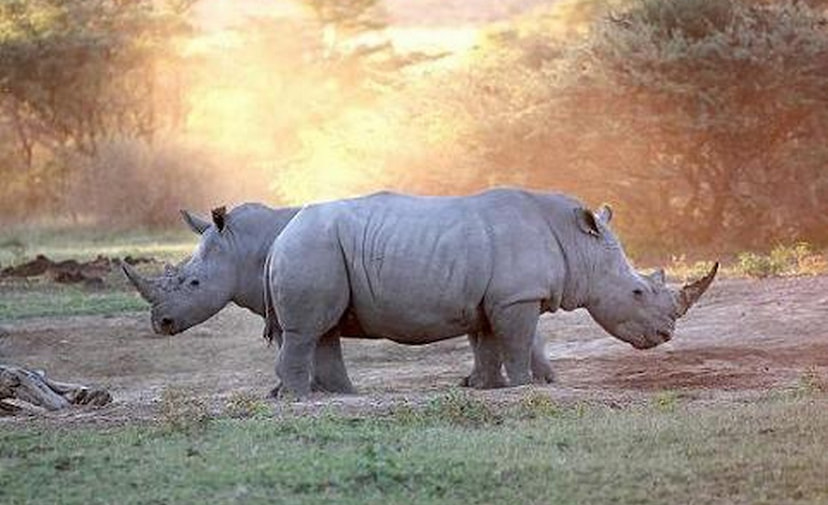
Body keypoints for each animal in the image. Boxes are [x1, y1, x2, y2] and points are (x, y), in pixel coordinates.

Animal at [121, 203, 555, 394]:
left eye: (193, 283)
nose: (160, 324)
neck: (243, 247)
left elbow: (294, 343)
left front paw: (291, 391)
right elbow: (313, 344)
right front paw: (322, 390)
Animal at [265, 188, 718, 397]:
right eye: (638, 292)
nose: (666, 336)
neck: (579, 246)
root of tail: (279, 238)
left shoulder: (493, 300)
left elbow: (487, 344)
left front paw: (485, 387)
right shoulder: (518, 297)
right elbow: (515, 343)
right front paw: (522, 386)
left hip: (317, 247)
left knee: (325, 329)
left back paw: (342, 395)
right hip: (312, 247)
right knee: (308, 331)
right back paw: (301, 398)